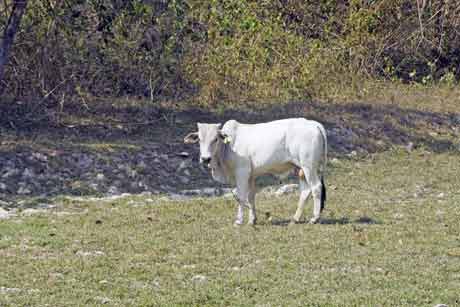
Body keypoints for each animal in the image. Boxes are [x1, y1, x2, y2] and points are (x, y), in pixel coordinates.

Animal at [183, 118, 328, 226]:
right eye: (199, 139)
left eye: (215, 139)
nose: (205, 158)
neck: (228, 146)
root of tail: (314, 124)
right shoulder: (250, 176)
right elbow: (250, 197)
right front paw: (252, 220)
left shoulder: (242, 173)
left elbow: (241, 196)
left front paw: (239, 221)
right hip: (301, 169)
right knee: (305, 191)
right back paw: (295, 219)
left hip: (308, 166)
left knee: (316, 187)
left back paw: (314, 218)